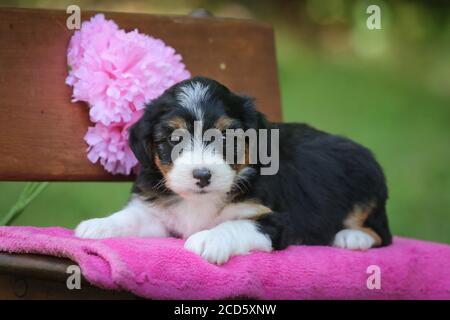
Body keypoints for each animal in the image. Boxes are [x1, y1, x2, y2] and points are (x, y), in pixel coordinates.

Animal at [75, 76, 392, 264]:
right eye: (174, 139)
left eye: (227, 138)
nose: (202, 176)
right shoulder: (159, 214)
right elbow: (132, 217)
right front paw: (99, 225)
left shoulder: (274, 220)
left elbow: (236, 225)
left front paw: (209, 238)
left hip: (367, 187)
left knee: (381, 234)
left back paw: (351, 237)